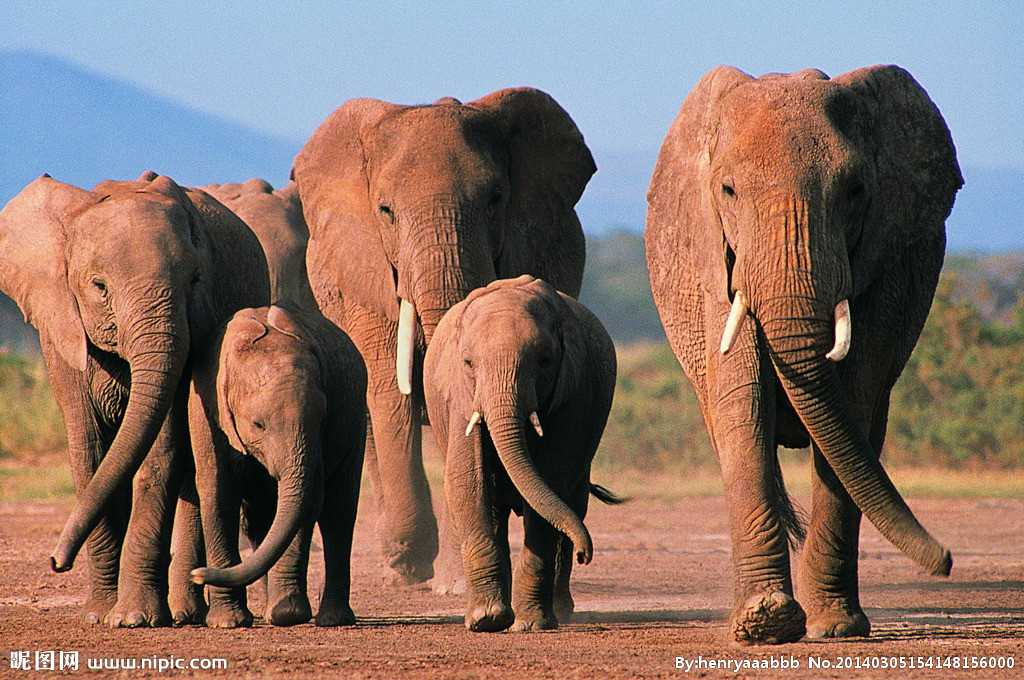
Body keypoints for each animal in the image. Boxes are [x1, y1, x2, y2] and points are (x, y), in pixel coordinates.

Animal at [0, 171, 270, 626]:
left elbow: (160, 451)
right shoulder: (63, 333)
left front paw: (133, 618)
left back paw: (184, 613)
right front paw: (98, 615)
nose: (56, 561)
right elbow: (89, 450)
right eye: (99, 287)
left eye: (195, 281)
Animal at [187, 304, 366, 628]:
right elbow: (218, 497)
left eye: (322, 417)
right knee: (259, 520)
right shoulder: (206, 410)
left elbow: (309, 502)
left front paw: (288, 615)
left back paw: (331, 620)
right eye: (258, 424)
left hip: (357, 419)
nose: (197, 576)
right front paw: (228, 622)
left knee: (339, 514)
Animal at [292, 87, 596, 586]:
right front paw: (410, 564)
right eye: (386, 212)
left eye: (495, 199)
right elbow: (389, 392)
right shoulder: (364, 277)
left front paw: (453, 582)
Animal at [422, 275, 617, 632]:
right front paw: (486, 620)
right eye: (468, 363)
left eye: (544, 361)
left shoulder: (574, 392)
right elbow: (468, 481)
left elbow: (551, 481)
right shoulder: (460, 396)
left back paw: (559, 612)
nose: (586, 555)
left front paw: (531, 625)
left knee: (572, 502)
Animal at [645, 65, 962, 644]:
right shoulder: (714, 260)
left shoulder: (885, 268)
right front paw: (765, 621)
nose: (947, 560)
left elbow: (853, 404)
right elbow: (742, 405)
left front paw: (835, 628)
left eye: (856, 190)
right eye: (727, 189)